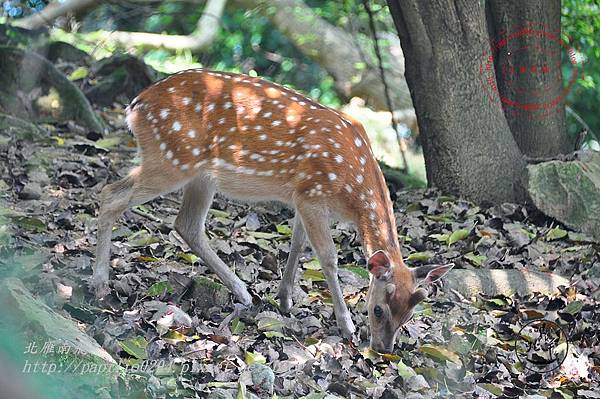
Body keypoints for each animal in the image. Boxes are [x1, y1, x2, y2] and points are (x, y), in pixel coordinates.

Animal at [91, 69, 452, 354]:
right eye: (377, 310)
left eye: (409, 314)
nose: (383, 348)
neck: (352, 189)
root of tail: (135, 106)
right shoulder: (313, 194)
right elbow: (327, 257)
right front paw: (346, 325)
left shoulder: (302, 196)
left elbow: (296, 244)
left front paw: (285, 300)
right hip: (171, 158)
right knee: (110, 195)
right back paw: (99, 284)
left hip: (199, 175)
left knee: (187, 225)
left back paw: (242, 292)